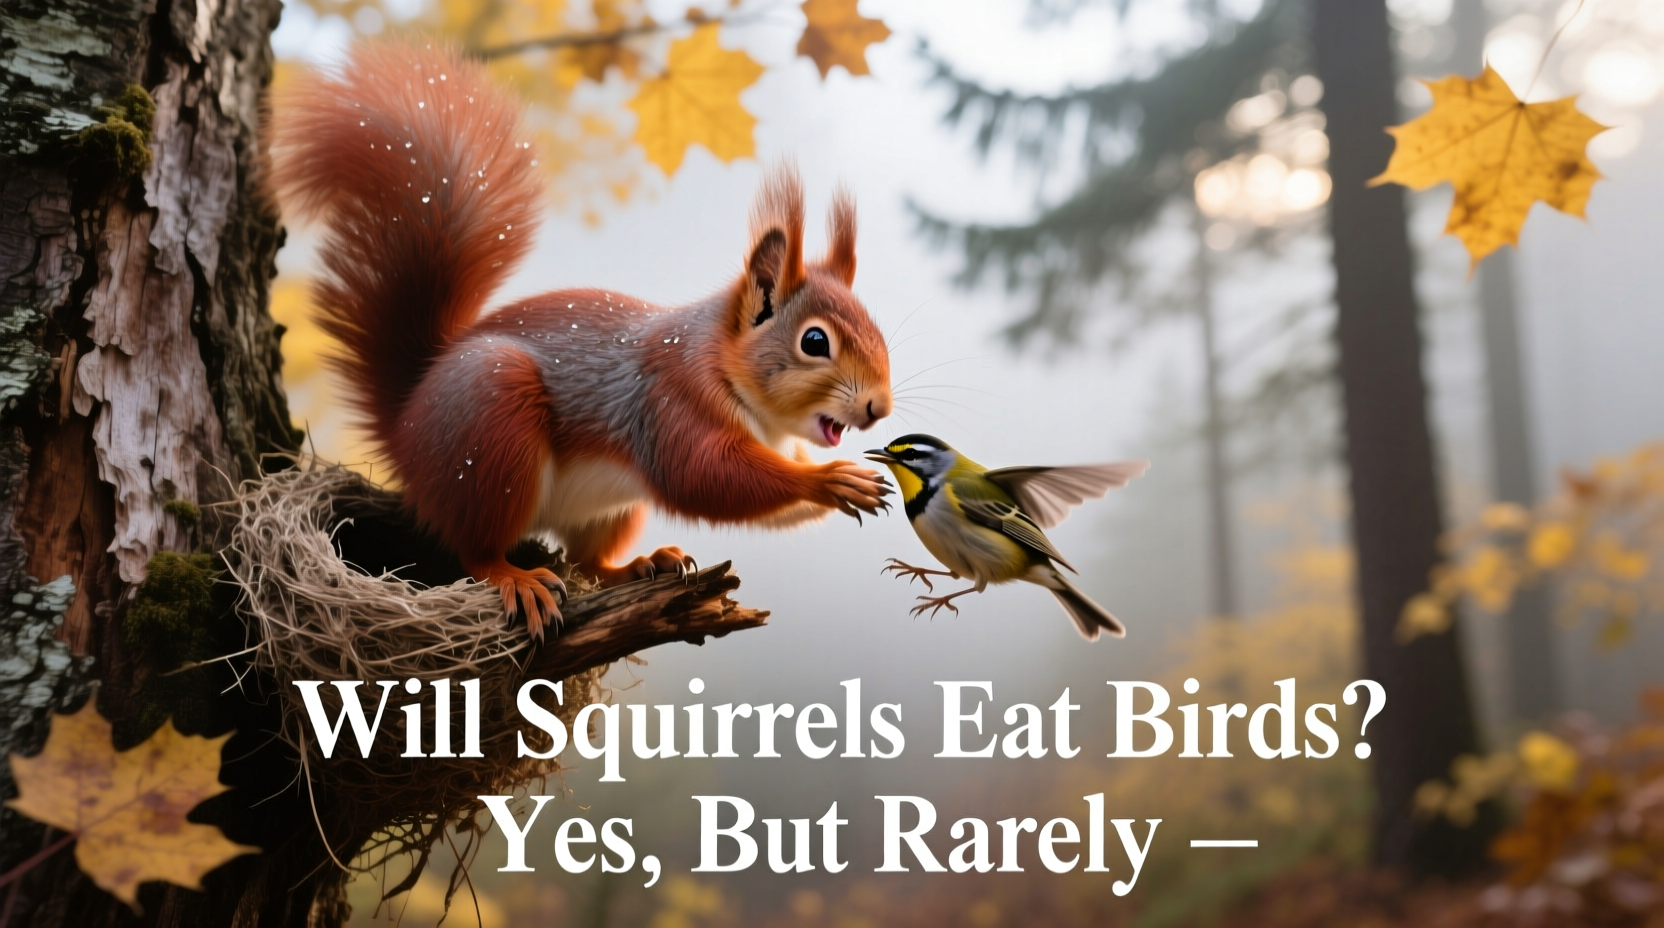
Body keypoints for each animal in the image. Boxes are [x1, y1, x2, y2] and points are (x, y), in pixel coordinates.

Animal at [270, 40, 894, 639]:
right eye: (815, 342)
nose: (879, 407)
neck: (724, 369)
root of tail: (405, 426)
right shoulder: (668, 402)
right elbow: (703, 478)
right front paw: (829, 479)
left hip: (608, 509)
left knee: (587, 561)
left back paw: (641, 564)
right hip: (490, 435)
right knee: (474, 549)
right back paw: (515, 578)